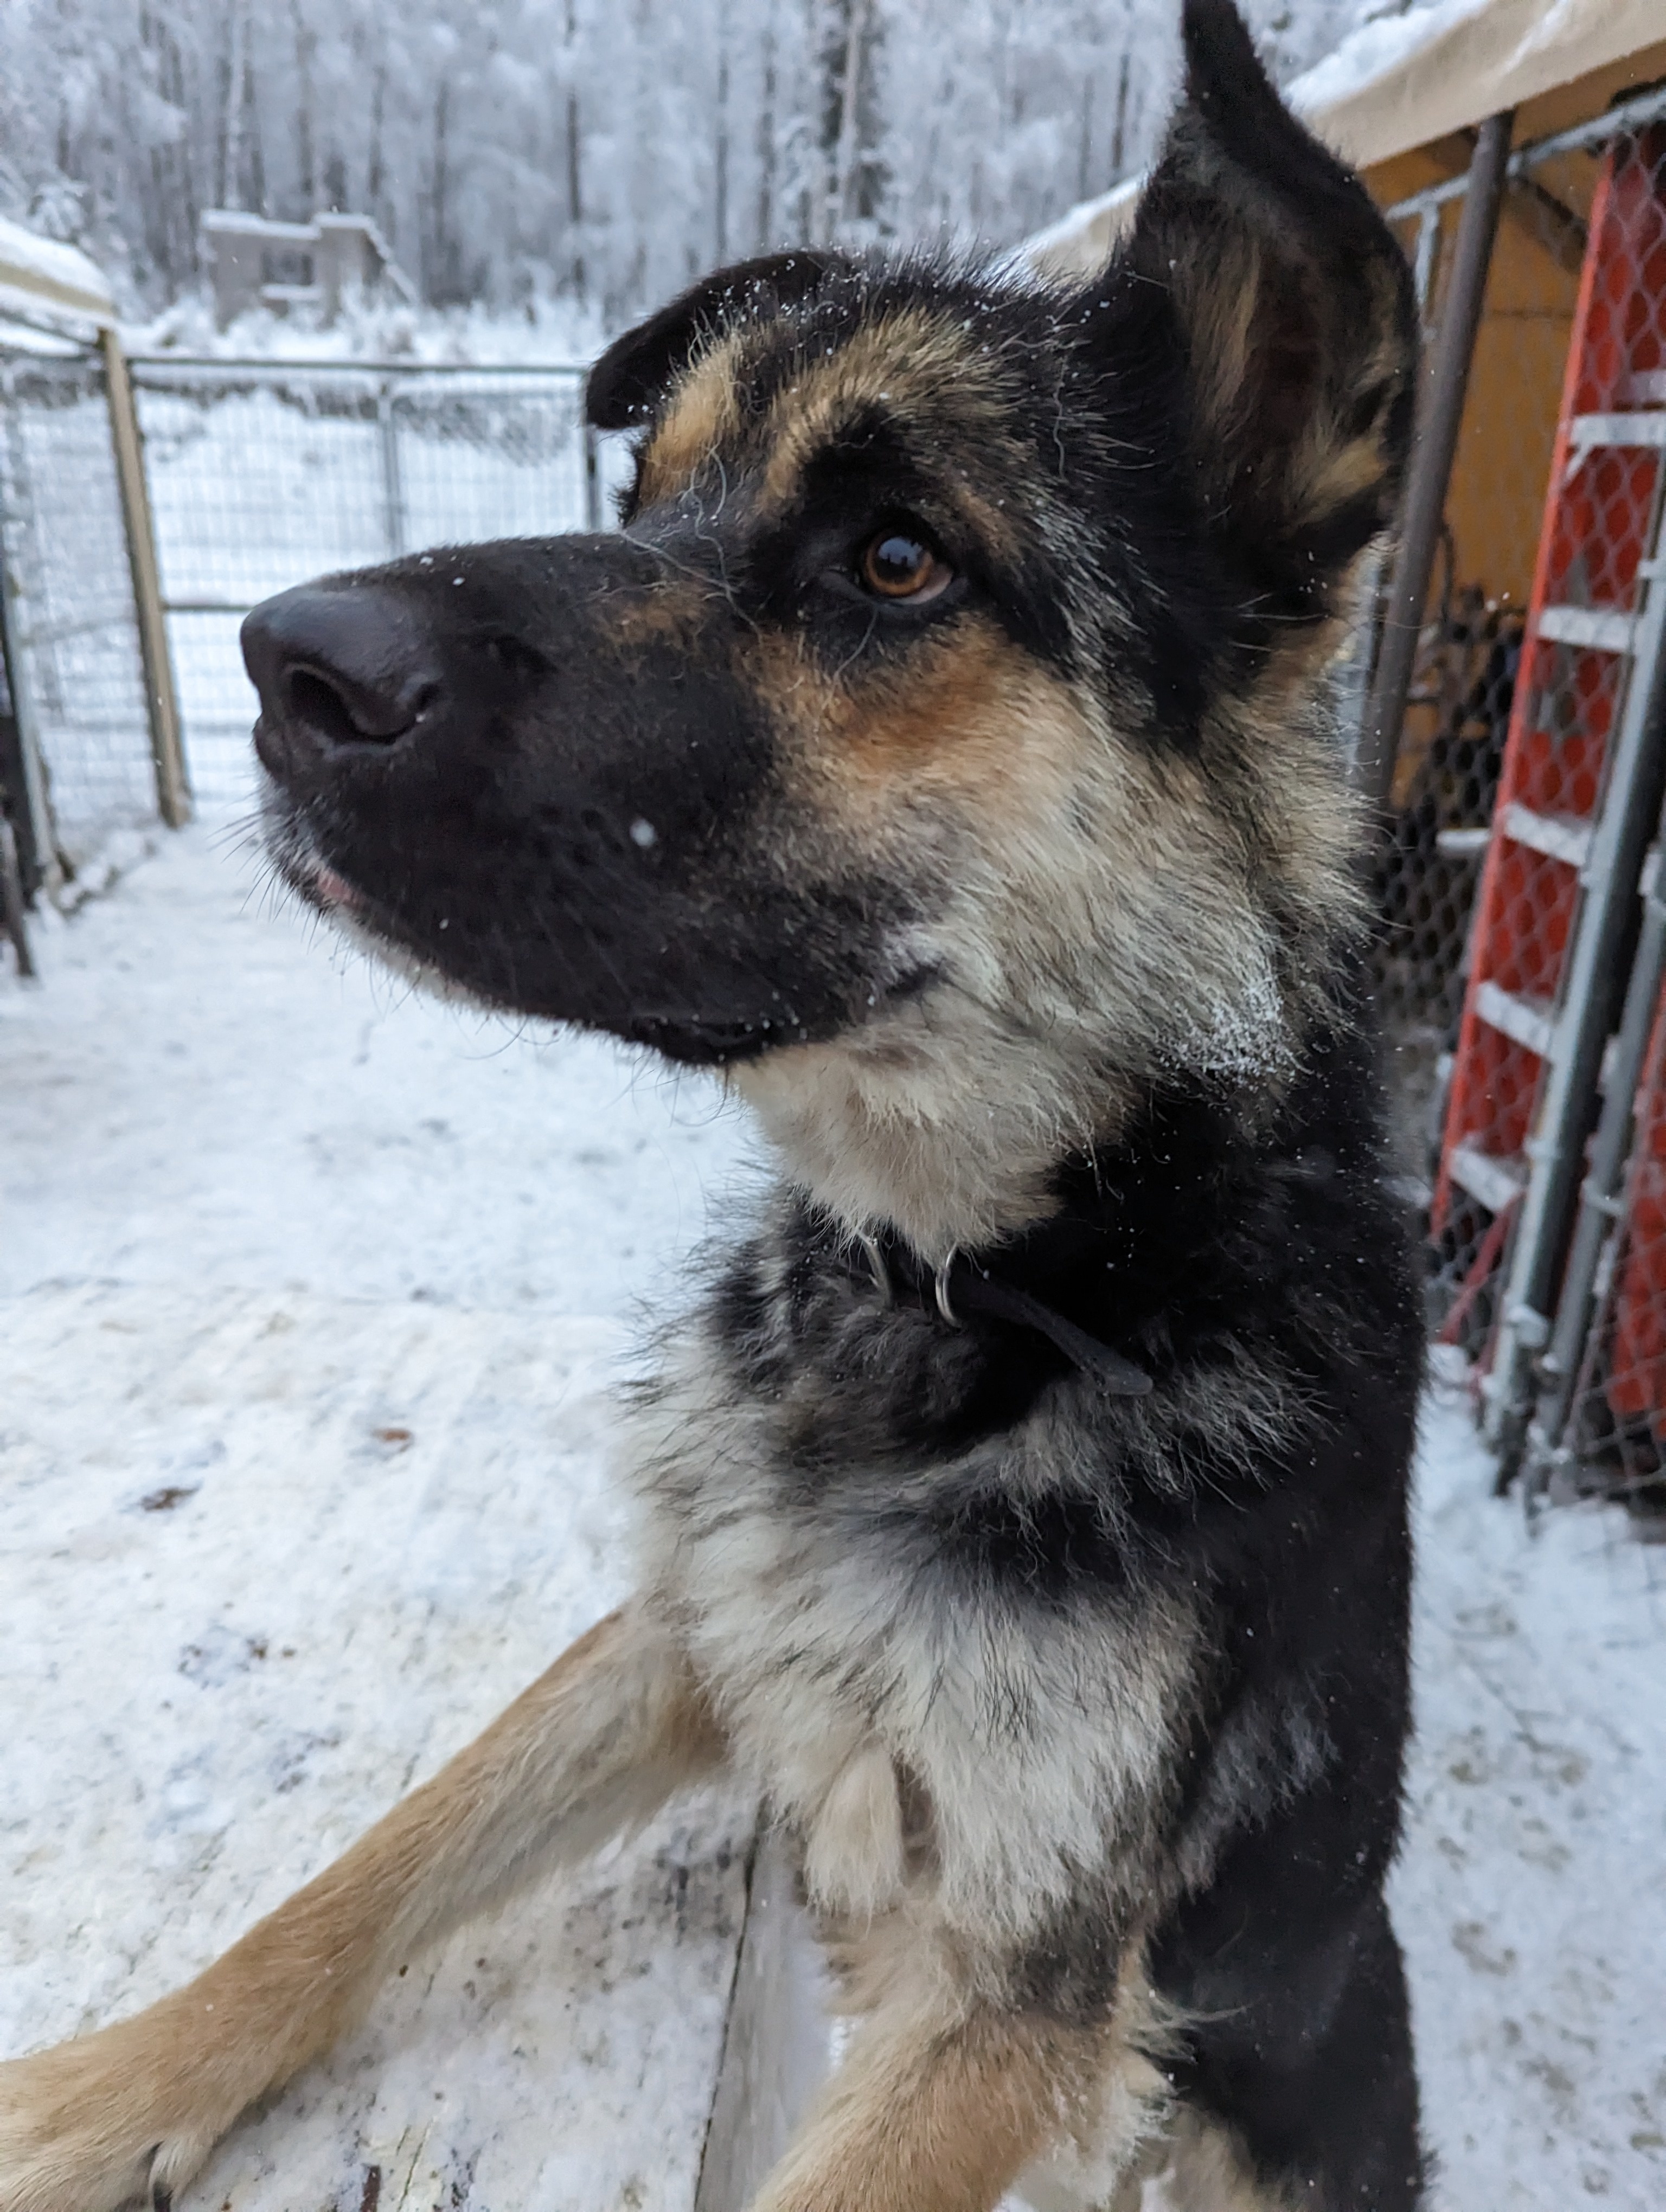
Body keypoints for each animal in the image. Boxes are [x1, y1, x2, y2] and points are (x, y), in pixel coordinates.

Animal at [6, 8, 1425, 2203]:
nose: (282, 663)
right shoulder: (678, 1632)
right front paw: (101, 2087)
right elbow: (362, 1871)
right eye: (639, 486)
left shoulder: (1014, 1997)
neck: (974, 1285)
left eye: (898, 558)